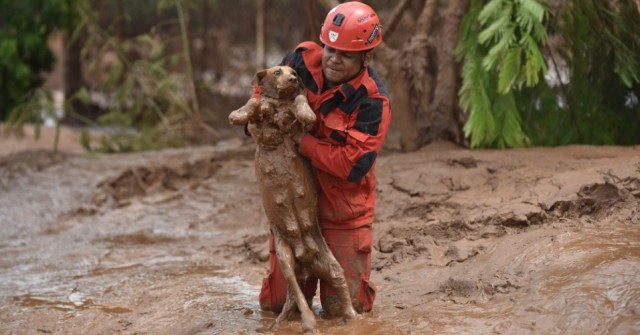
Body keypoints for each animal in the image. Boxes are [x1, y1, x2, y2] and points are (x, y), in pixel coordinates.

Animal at [228, 66, 358, 334]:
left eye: (295, 72)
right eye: (277, 71)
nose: (293, 79)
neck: (279, 103)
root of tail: (306, 264)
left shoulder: (296, 106)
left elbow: (300, 100)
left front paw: (306, 113)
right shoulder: (262, 107)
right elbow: (254, 102)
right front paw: (239, 114)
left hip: (332, 264)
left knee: (338, 287)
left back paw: (346, 318)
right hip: (285, 257)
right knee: (298, 294)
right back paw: (308, 321)